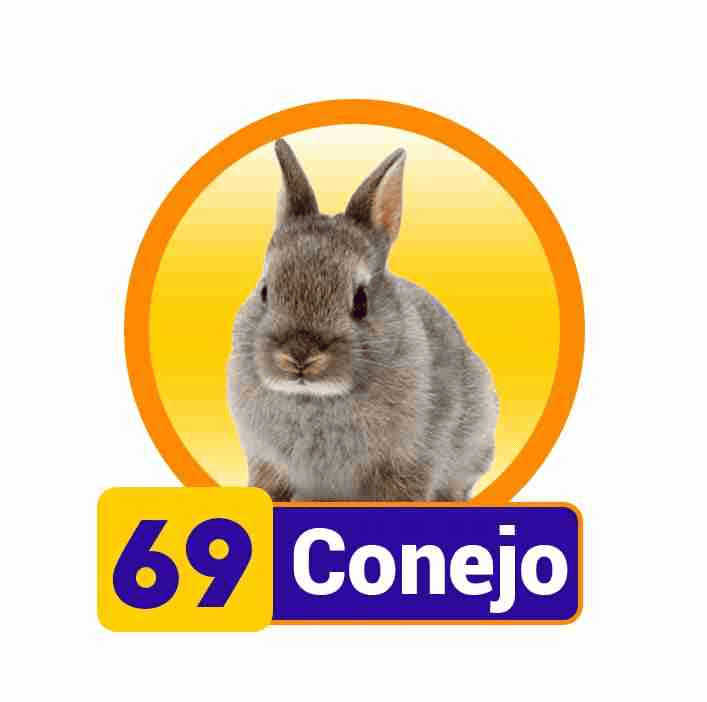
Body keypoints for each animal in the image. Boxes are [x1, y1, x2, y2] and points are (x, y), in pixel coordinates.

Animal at [227, 138, 498, 501]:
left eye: (361, 301)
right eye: (265, 291)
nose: (299, 356)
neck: (317, 397)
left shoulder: (410, 459)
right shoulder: (266, 461)